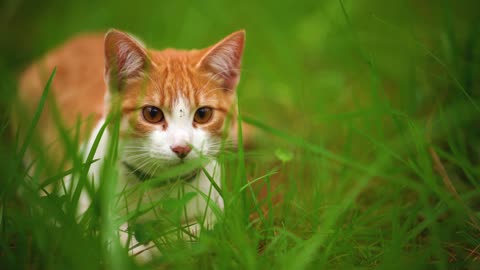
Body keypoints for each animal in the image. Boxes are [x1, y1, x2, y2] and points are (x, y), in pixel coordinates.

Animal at [16, 28, 246, 258]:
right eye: (152, 114)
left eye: (203, 114)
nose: (182, 148)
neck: (161, 187)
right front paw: (139, 250)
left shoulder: (218, 204)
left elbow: (204, 229)